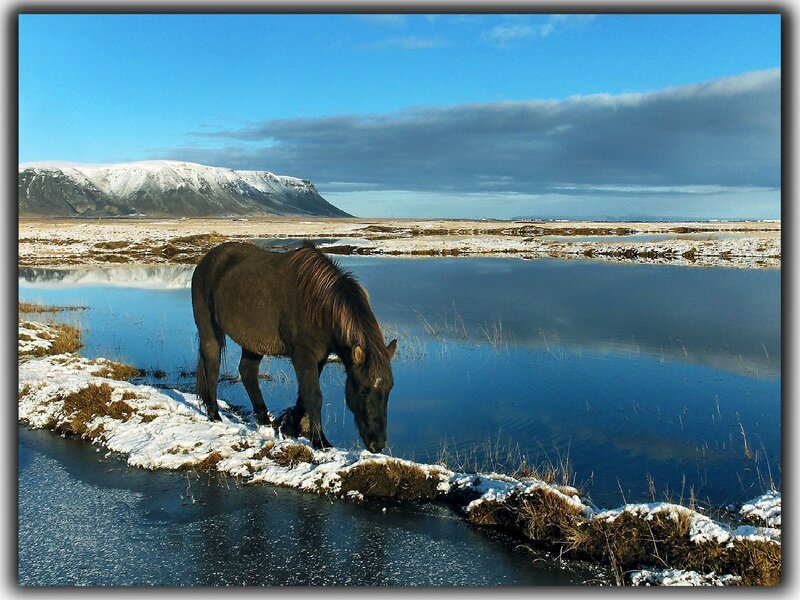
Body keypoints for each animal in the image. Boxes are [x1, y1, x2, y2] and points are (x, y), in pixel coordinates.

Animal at [191, 240, 397, 452]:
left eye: (389, 389)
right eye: (363, 390)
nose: (378, 444)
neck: (318, 303)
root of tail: (207, 260)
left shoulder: (319, 357)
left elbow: (303, 397)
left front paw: (288, 427)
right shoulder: (303, 356)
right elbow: (313, 396)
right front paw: (320, 441)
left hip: (253, 343)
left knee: (248, 372)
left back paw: (264, 420)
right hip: (210, 330)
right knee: (212, 367)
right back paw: (214, 415)